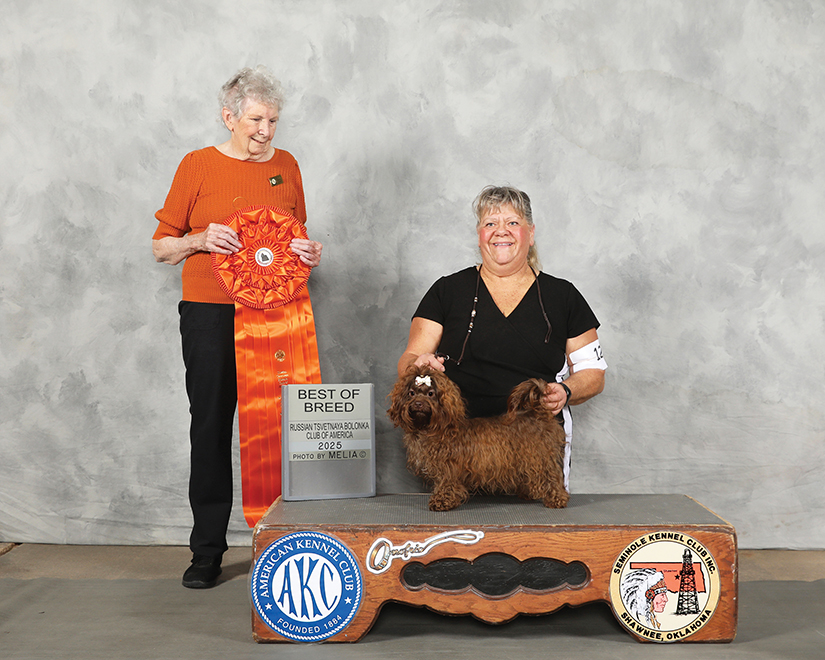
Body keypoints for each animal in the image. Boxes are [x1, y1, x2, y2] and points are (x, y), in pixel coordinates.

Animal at [388, 366, 569, 512]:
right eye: (411, 393)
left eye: (431, 394)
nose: (418, 403)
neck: (435, 429)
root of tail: (537, 411)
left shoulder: (449, 469)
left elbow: (446, 484)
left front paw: (441, 502)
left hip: (541, 459)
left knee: (552, 478)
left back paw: (557, 499)